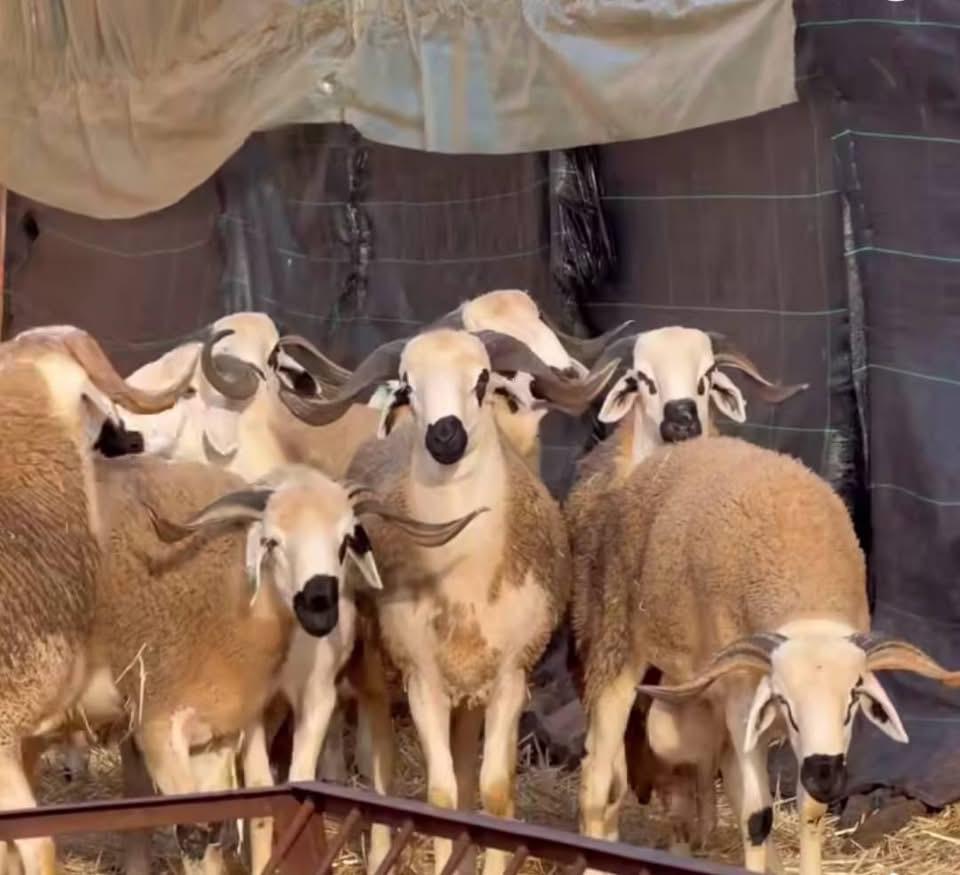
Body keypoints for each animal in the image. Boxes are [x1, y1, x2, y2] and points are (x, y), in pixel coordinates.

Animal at [278, 327, 616, 875]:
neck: (465, 575)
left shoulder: (510, 677)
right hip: (376, 669)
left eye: (482, 379)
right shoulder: (422, 681)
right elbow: (438, 798)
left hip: (471, 690)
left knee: (463, 773)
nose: (444, 436)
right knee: (381, 768)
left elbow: (492, 795)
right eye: (407, 386)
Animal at [572, 435, 960, 875]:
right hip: (615, 638)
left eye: (851, 701)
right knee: (599, 775)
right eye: (785, 701)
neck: (806, 603)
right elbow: (757, 817)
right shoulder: (743, 702)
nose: (825, 775)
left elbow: (808, 812)